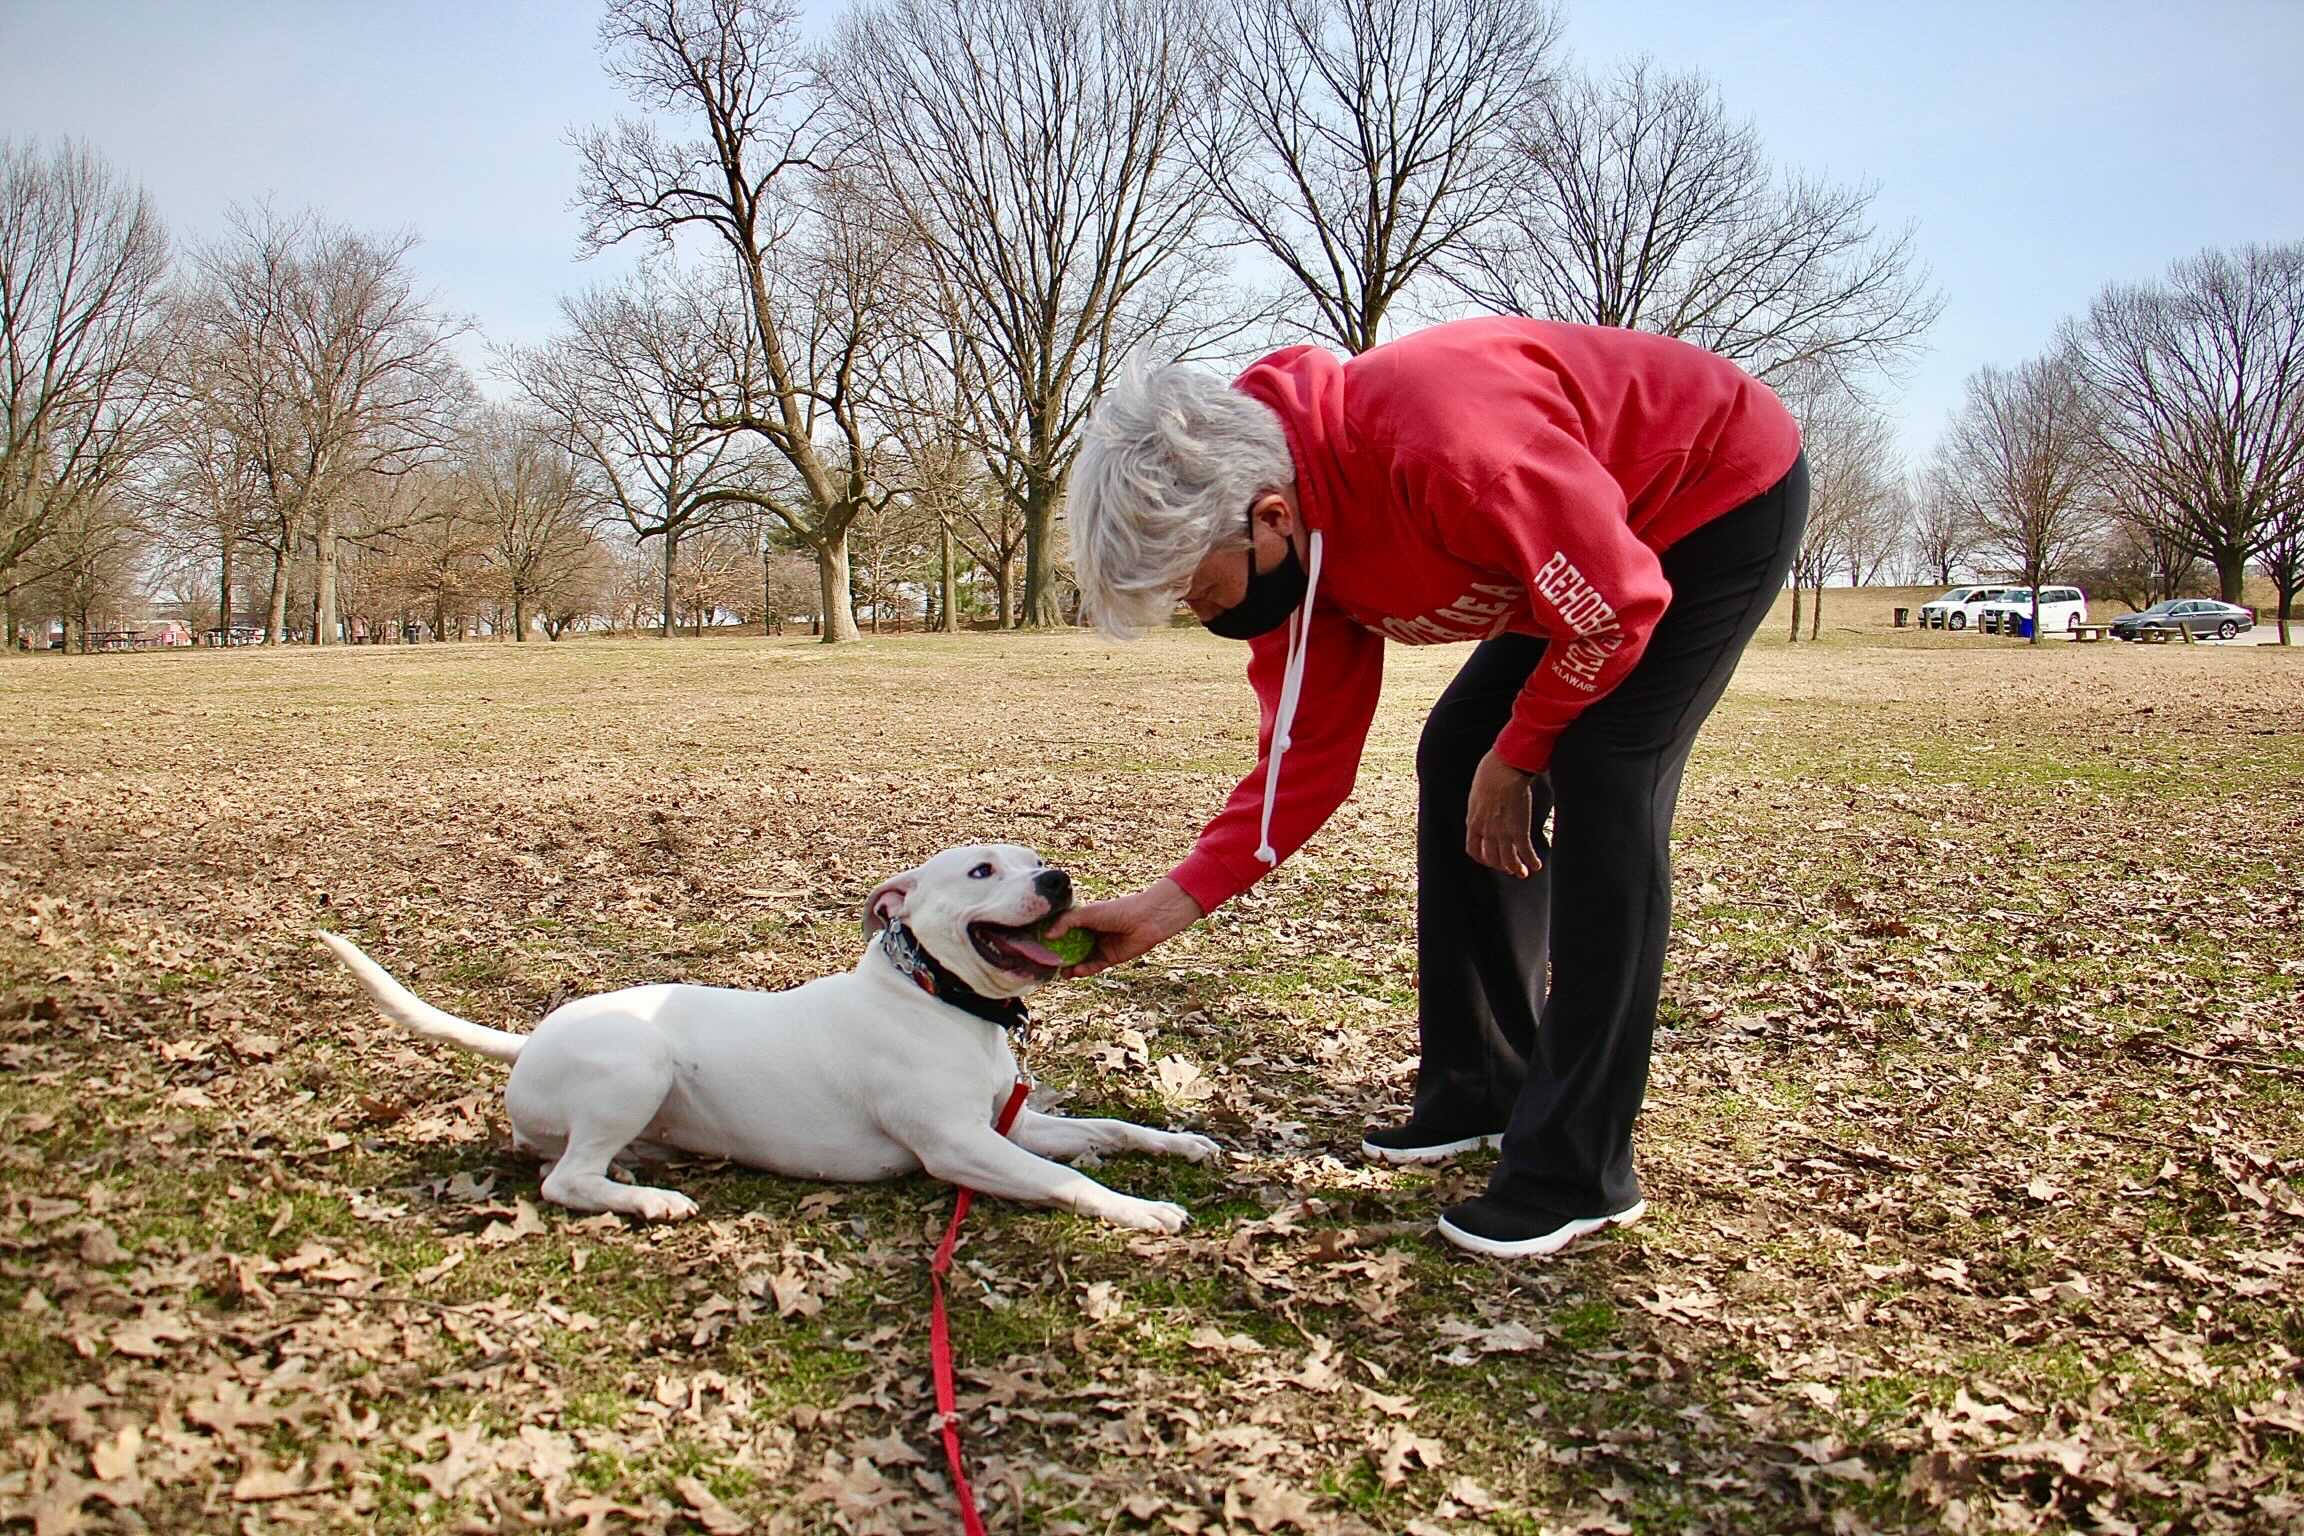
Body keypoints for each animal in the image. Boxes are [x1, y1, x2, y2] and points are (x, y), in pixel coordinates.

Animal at [329, 847, 1225, 1234]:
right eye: (981, 871)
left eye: (1035, 858)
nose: (1057, 879)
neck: (939, 999)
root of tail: (530, 1040)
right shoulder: (960, 1147)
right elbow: (1064, 1178)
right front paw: (1140, 1209)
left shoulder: (1016, 1120)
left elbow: (1107, 1128)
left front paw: (1178, 1143)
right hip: (635, 1063)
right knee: (565, 1182)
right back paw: (650, 1201)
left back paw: (641, 1168)